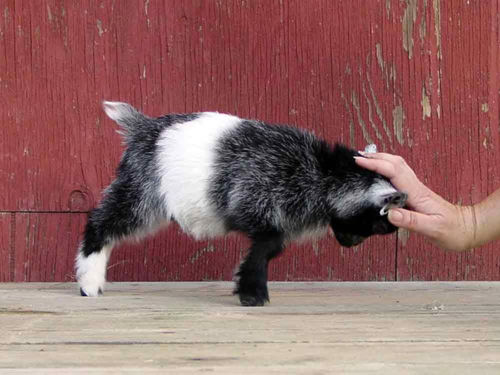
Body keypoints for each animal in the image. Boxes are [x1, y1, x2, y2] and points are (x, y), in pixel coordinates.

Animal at [76, 102, 408, 306]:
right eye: (380, 223)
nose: (351, 244)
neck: (320, 172)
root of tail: (142, 129)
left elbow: (269, 247)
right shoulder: (253, 201)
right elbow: (269, 246)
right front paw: (253, 292)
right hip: (141, 193)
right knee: (100, 222)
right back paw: (89, 282)